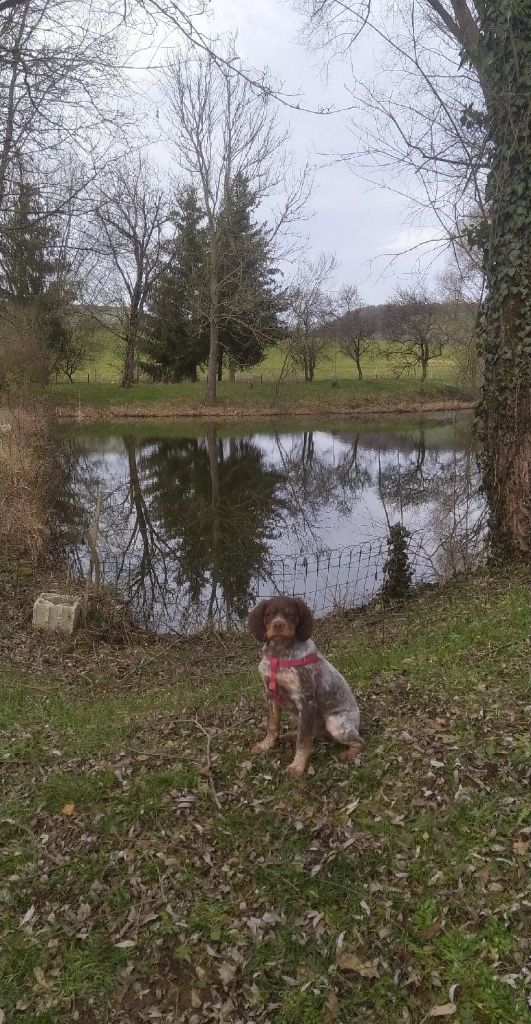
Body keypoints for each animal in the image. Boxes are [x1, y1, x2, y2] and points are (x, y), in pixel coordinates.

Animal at [248, 593, 364, 774]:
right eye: (268, 614)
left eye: (290, 613)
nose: (278, 625)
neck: (279, 654)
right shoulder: (270, 695)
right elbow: (272, 726)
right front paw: (266, 745)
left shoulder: (306, 701)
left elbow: (303, 742)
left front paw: (297, 766)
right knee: (312, 733)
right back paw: (292, 735)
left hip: (334, 722)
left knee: (358, 741)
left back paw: (347, 754)